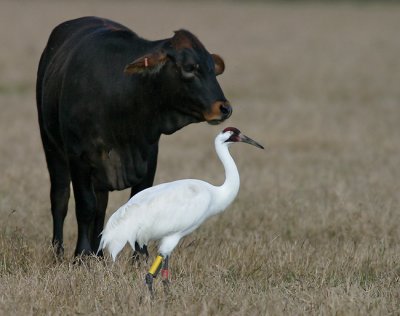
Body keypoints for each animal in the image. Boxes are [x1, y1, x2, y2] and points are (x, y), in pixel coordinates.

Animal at [37, 16, 233, 256]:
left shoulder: (148, 156)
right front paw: (81, 254)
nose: (224, 108)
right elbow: (84, 206)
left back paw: (98, 254)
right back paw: (59, 252)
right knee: (60, 199)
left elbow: (137, 201)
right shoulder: (78, 157)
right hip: (52, 148)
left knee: (101, 206)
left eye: (212, 69)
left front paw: (139, 256)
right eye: (189, 68)